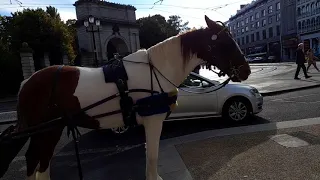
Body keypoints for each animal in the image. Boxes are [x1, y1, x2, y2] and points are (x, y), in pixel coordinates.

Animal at [0, 15, 250, 180]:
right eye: (225, 42)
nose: (246, 70)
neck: (157, 68)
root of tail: (27, 82)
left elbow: (150, 153)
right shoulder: (153, 120)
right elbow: (152, 155)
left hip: (50, 129)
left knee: (39, 161)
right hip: (47, 130)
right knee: (37, 161)